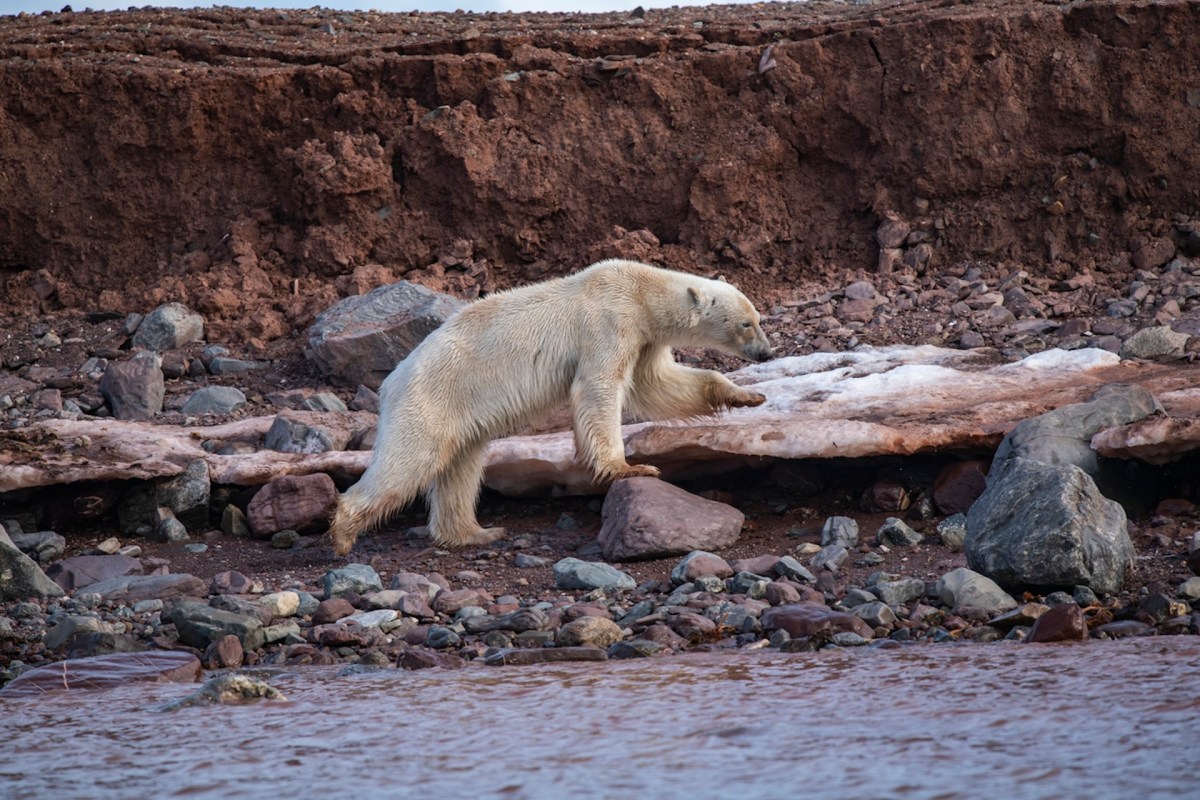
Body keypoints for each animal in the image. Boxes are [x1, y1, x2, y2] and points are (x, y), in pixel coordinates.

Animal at [331, 260, 768, 554]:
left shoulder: (644, 338)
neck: (639, 291)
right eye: (745, 323)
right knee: (409, 461)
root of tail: (391, 381)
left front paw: (746, 396)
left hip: (458, 413)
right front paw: (630, 467)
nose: (765, 352)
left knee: (461, 466)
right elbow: (599, 387)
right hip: (431, 399)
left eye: (758, 317)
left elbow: (655, 386)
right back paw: (343, 533)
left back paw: (476, 533)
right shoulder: (609, 323)